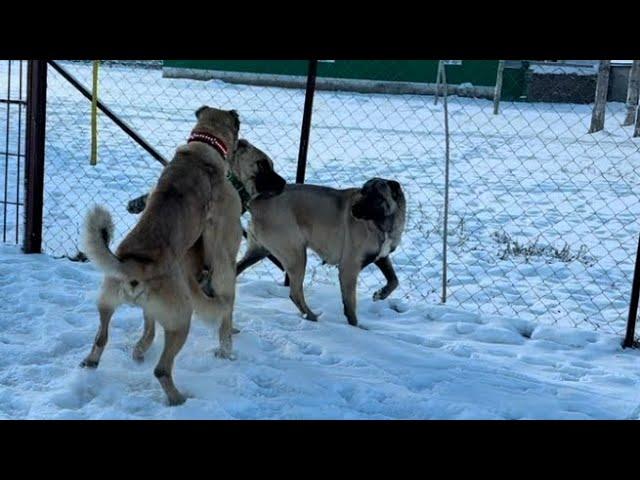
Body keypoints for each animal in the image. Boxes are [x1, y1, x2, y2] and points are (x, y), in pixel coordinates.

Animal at [80, 106, 240, 404]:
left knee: (102, 338)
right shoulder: (223, 246)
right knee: (162, 369)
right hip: (181, 319)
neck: (202, 147)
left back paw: (95, 361)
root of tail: (134, 268)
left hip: (108, 302)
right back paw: (178, 398)